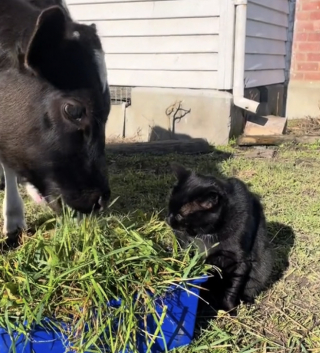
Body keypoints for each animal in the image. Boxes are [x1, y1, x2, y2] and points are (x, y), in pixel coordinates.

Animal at [166, 164, 274, 314]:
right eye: (169, 207)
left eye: (180, 215)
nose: (168, 219)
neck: (208, 234)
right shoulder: (187, 247)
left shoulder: (239, 261)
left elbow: (232, 287)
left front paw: (229, 309)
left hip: (264, 264)